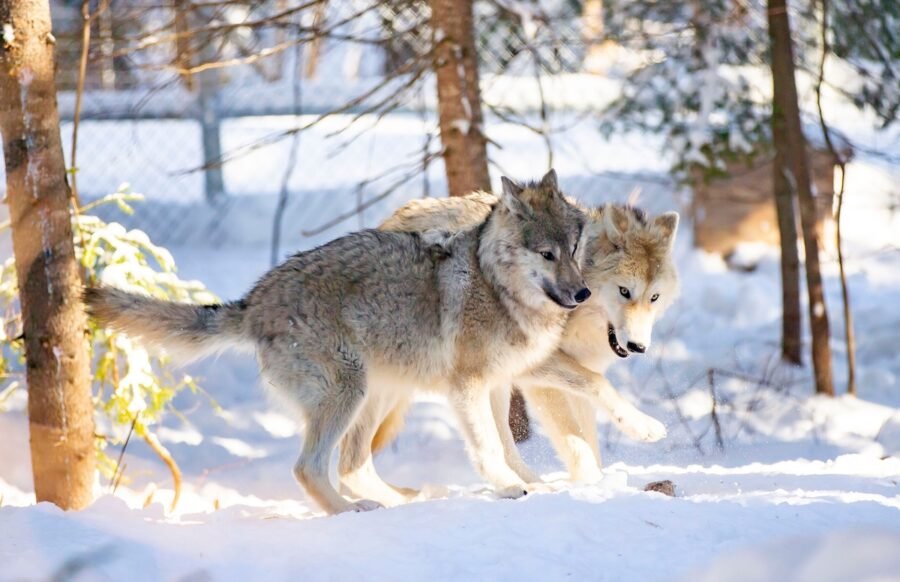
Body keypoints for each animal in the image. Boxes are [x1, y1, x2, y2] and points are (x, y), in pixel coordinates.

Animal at [85, 170, 591, 514]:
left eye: (573, 249)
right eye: (546, 254)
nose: (583, 293)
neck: (496, 286)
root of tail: (254, 300)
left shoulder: (499, 385)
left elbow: (508, 444)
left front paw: (536, 484)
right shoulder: (466, 387)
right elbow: (487, 447)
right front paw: (507, 488)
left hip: (378, 392)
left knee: (351, 464)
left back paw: (400, 499)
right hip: (349, 391)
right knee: (310, 467)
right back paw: (349, 511)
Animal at [342, 192, 678, 501]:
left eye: (654, 297)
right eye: (624, 291)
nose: (638, 346)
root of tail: (393, 218)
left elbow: (589, 428)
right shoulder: (539, 374)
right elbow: (589, 407)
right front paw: (637, 434)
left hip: (492, 385)